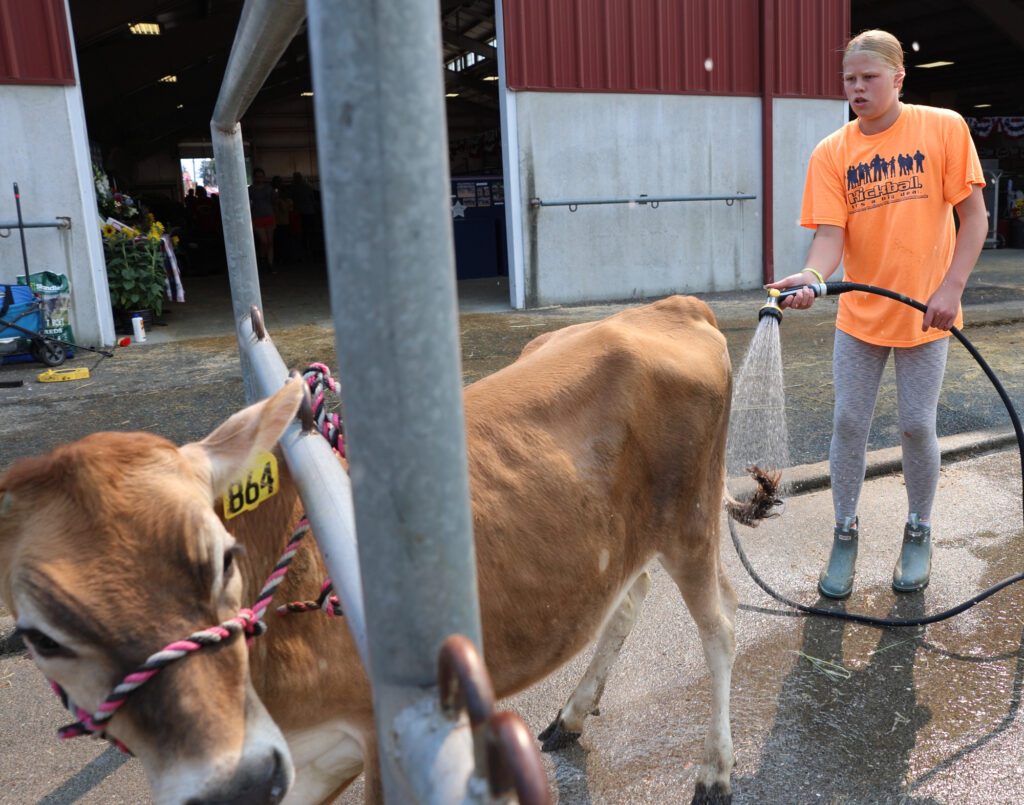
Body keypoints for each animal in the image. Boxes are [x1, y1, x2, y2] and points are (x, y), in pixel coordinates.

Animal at [0, 297, 737, 802]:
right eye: (39, 637)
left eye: (223, 558)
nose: (236, 783)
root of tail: (671, 306)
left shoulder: (380, 741)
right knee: (629, 594)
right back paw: (574, 713)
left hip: (692, 519)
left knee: (721, 627)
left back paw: (715, 768)